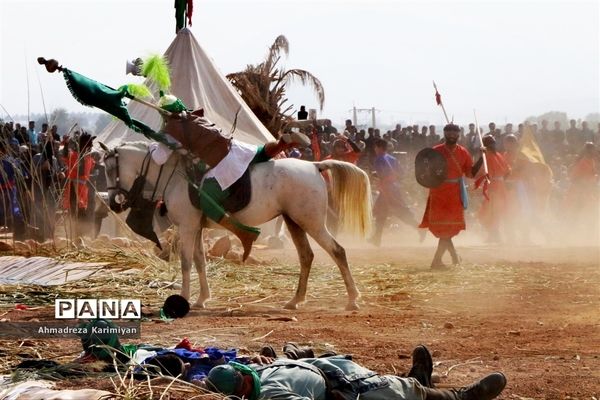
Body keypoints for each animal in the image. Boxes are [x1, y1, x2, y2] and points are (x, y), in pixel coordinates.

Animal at [101, 142, 372, 310]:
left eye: (109, 167)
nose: (113, 202)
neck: (174, 175)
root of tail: (315, 165)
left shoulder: (187, 227)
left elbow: (186, 261)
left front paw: (184, 298)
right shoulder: (196, 228)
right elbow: (200, 260)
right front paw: (202, 299)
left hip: (311, 222)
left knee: (337, 251)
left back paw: (352, 299)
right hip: (294, 222)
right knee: (306, 256)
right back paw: (296, 300)